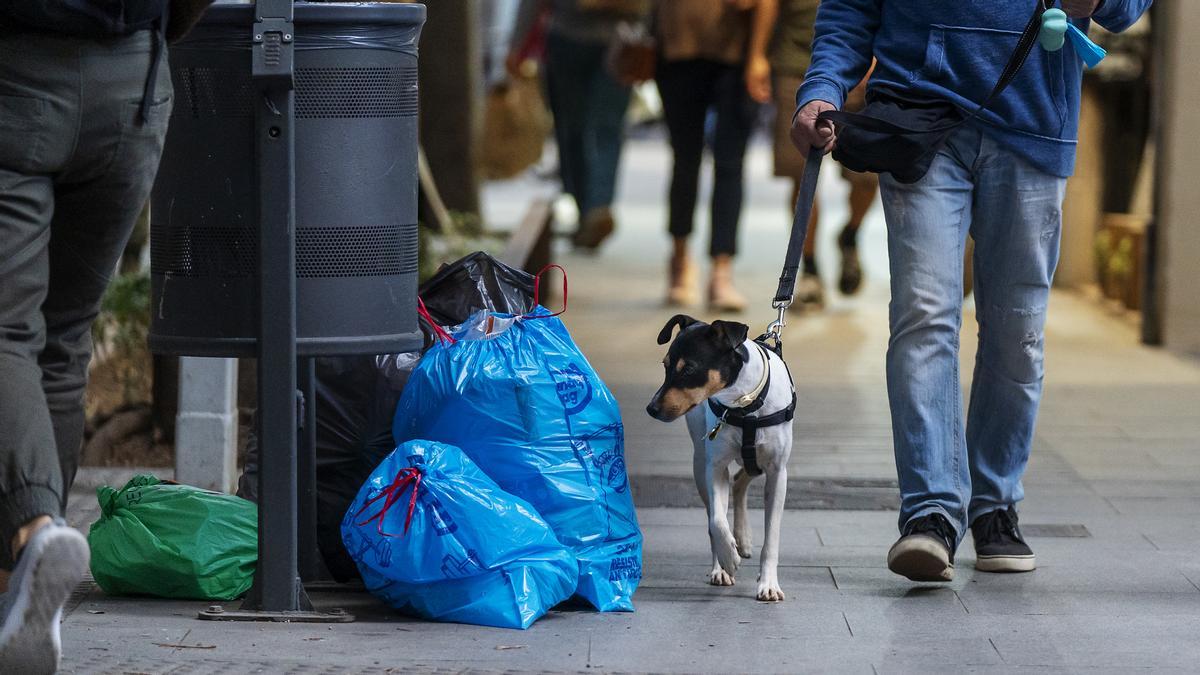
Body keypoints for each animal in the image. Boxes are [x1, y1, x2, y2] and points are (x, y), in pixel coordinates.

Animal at [648, 314, 796, 598]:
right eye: (665, 366)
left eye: (688, 369)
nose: (651, 409)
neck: (745, 404)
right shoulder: (714, 468)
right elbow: (716, 521)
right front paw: (728, 557)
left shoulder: (777, 472)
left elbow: (771, 537)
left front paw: (768, 584)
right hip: (699, 464)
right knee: (718, 508)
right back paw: (724, 563)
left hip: (757, 463)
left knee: (740, 482)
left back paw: (744, 539)